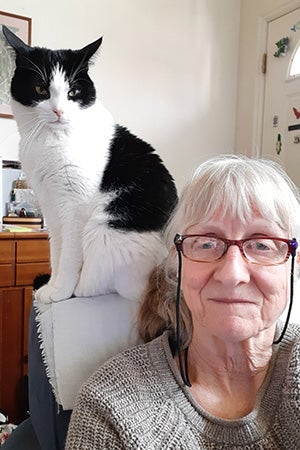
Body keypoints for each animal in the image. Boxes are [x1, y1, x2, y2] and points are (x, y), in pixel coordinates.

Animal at [2, 26, 178, 304]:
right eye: (41, 89)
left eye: (73, 92)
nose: (59, 111)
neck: (51, 140)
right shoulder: (51, 205)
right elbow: (56, 250)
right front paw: (51, 286)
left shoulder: (75, 208)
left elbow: (69, 255)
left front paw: (61, 291)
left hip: (105, 232)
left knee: (107, 285)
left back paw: (80, 288)